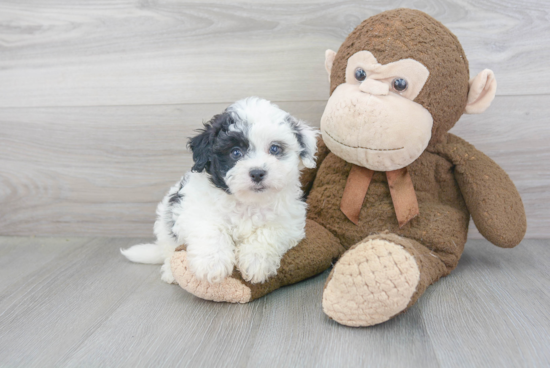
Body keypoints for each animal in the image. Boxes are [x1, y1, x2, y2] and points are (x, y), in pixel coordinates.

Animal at [121, 98, 320, 284]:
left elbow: (269, 232)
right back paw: (171, 272)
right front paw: (211, 264)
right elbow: (211, 230)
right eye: (235, 152)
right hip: (166, 225)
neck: (248, 202)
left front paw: (256, 261)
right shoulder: (194, 211)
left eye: (275, 149)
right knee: (169, 250)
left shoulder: (289, 221)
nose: (257, 173)